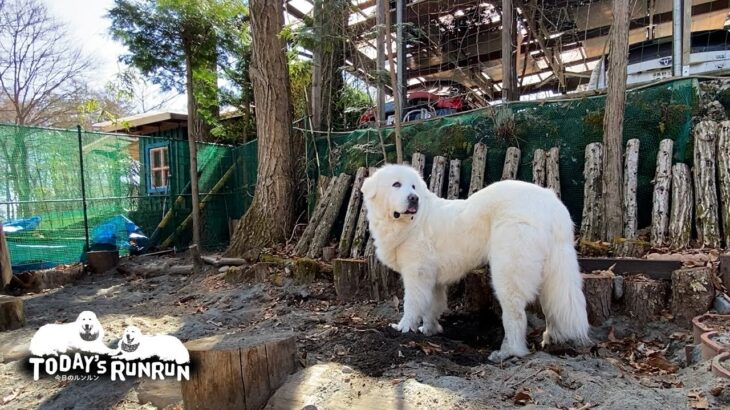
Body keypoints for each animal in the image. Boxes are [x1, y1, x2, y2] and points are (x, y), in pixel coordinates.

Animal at [362, 164, 588, 362]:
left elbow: (412, 303)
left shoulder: (416, 273)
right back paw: (553, 338)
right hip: (554, 270)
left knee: (515, 314)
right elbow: (433, 305)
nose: (413, 198)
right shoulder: (432, 278)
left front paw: (403, 328)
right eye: (396, 184)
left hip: (508, 270)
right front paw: (429, 330)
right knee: (555, 304)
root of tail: (550, 203)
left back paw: (508, 352)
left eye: (413, 187)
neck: (411, 222)